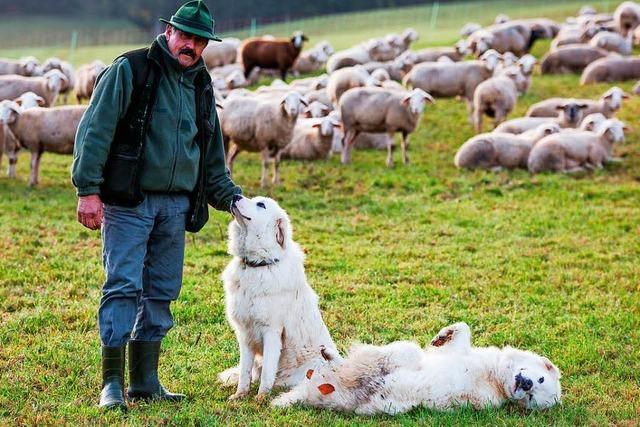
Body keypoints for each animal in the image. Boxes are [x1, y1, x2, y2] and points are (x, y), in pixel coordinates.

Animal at [219, 196, 340, 402]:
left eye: (261, 205)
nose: (235, 196)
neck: (258, 265)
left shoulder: (272, 331)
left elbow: (268, 370)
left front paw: (260, 398)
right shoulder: (245, 334)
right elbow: (244, 371)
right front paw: (240, 395)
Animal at [272, 322, 564, 416]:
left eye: (532, 398)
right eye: (540, 379)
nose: (526, 385)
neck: (494, 376)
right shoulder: (459, 351)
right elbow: (463, 328)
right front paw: (443, 335)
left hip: (399, 360)